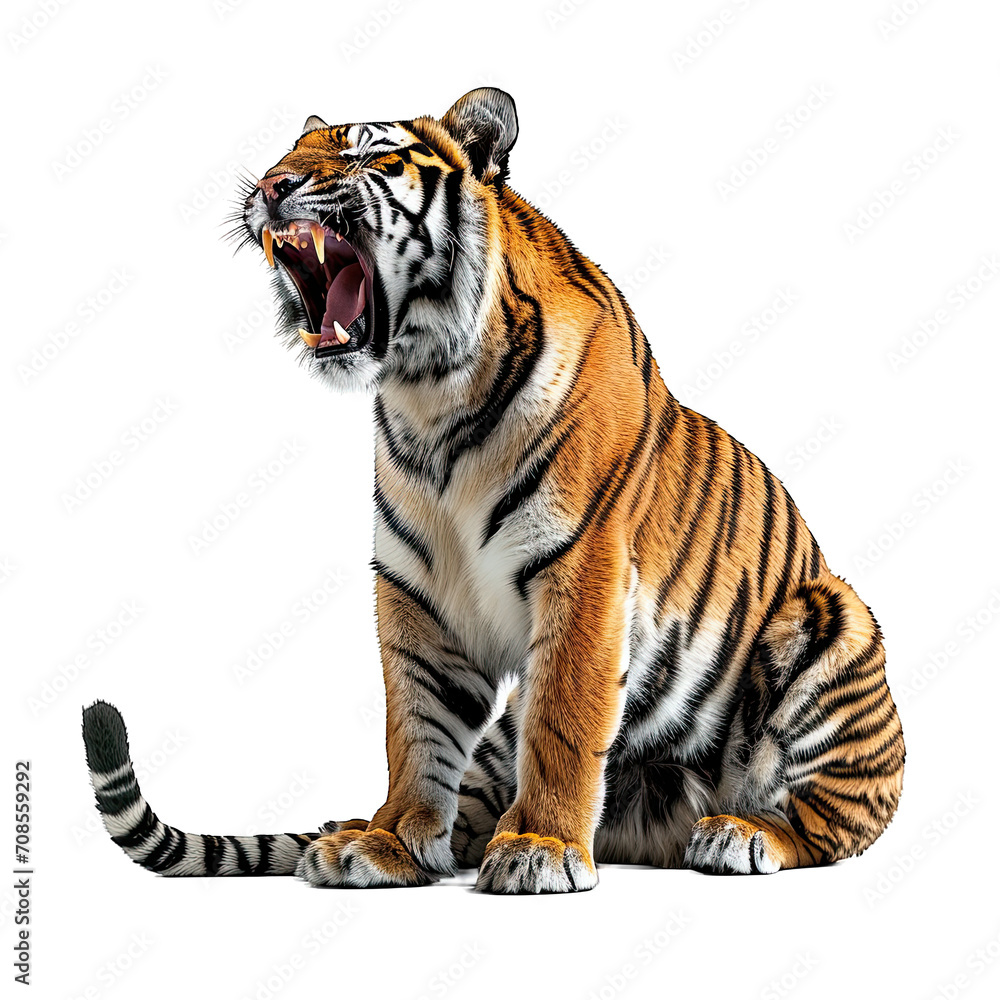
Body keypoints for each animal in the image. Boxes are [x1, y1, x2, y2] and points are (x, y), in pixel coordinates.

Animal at [83, 87, 905, 893]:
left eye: (368, 152)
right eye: (287, 154)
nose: (269, 187)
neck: (429, 394)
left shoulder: (584, 568)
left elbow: (564, 720)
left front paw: (541, 846)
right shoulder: (417, 590)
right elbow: (415, 726)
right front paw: (392, 842)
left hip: (832, 618)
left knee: (829, 825)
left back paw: (740, 834)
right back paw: (363, 831)